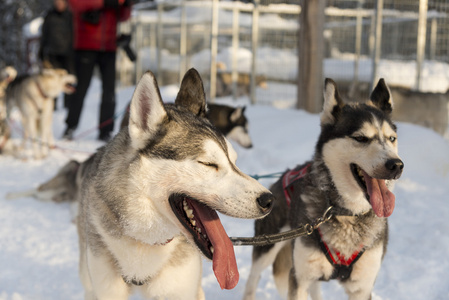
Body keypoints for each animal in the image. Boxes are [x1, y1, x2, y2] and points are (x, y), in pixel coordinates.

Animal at [243, 78, 404, 300]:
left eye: (392, 138)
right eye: (361, 138)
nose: (396, 165)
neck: (347, 213)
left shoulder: (362, 288)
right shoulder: (299, 279)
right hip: (267, 247)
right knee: (252, 279)